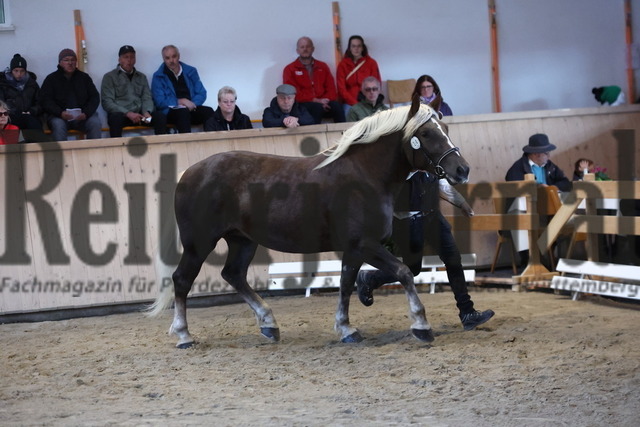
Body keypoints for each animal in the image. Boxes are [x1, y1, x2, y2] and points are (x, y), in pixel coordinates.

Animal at [150, 102, 470, 350]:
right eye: (425, 133)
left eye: (445, 129)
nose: (462, 169)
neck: (364, 175)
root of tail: (189, 172)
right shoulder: (365, 244)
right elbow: (403, 272)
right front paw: (421, 325)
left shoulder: (355, 248)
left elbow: (346, 283)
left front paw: (346, 329)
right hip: (199, 243)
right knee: (182, 280)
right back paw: (184, 335)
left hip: (242, 240)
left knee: (233, 274)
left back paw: (269, 324)